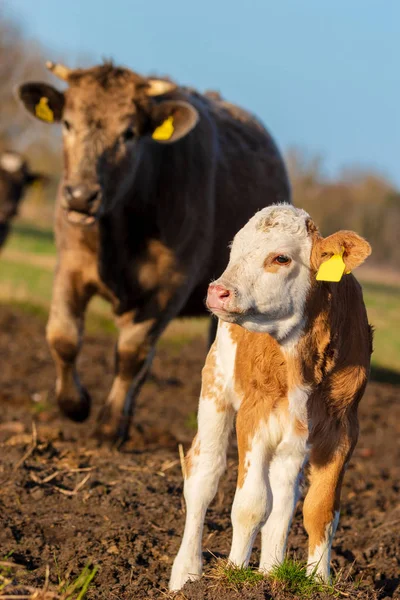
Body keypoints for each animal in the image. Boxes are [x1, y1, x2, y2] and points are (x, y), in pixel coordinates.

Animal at [17, 62, 290, 446]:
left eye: (129, 133)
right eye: (67, 123)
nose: (81, 196)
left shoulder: (170, 285)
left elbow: (132, 353)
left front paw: (108, 426)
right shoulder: (70, 265)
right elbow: (63, 336)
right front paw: (76, 405)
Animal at [170, 204, 374, 588]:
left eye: (281, 258)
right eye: (233, 250)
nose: (218, 291)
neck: (303, 363)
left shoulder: (342, 430)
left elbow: (320, 510)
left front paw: (318, 583)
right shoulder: (254, 415)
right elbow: (250, 505)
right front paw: (234, 574)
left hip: (292, 434)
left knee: (284, 494)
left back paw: (270, 570)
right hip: (216, 386)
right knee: (204, 476)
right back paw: (186, 573)